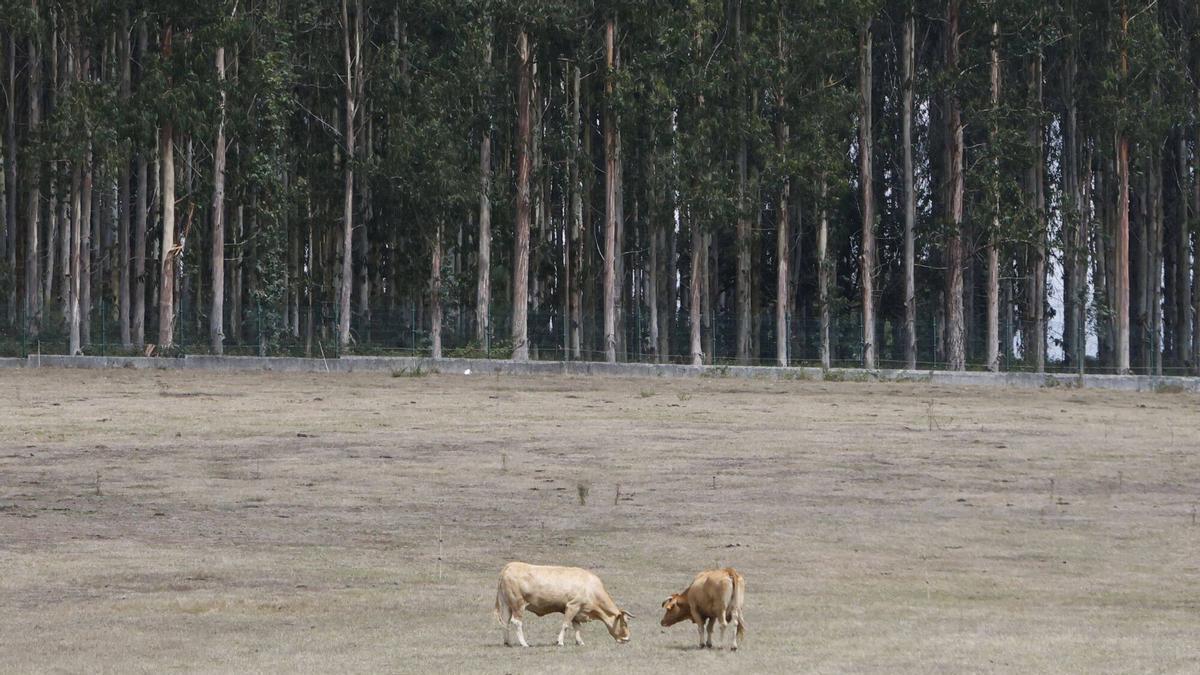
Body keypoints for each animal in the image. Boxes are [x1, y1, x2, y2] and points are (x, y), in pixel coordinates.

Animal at [494, 562, 634, 647]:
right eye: (625, 623)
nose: (627, 639)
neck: (590, 587)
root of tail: (510, 566)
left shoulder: (578, 611)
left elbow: (577, 627)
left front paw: (580, 642)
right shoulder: (572, 606)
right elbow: (565, 625)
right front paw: (560, 642)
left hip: (507, 605)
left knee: (505, 622)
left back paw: (507, 642)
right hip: (518, 605)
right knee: (516, 622)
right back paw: (524, 643)